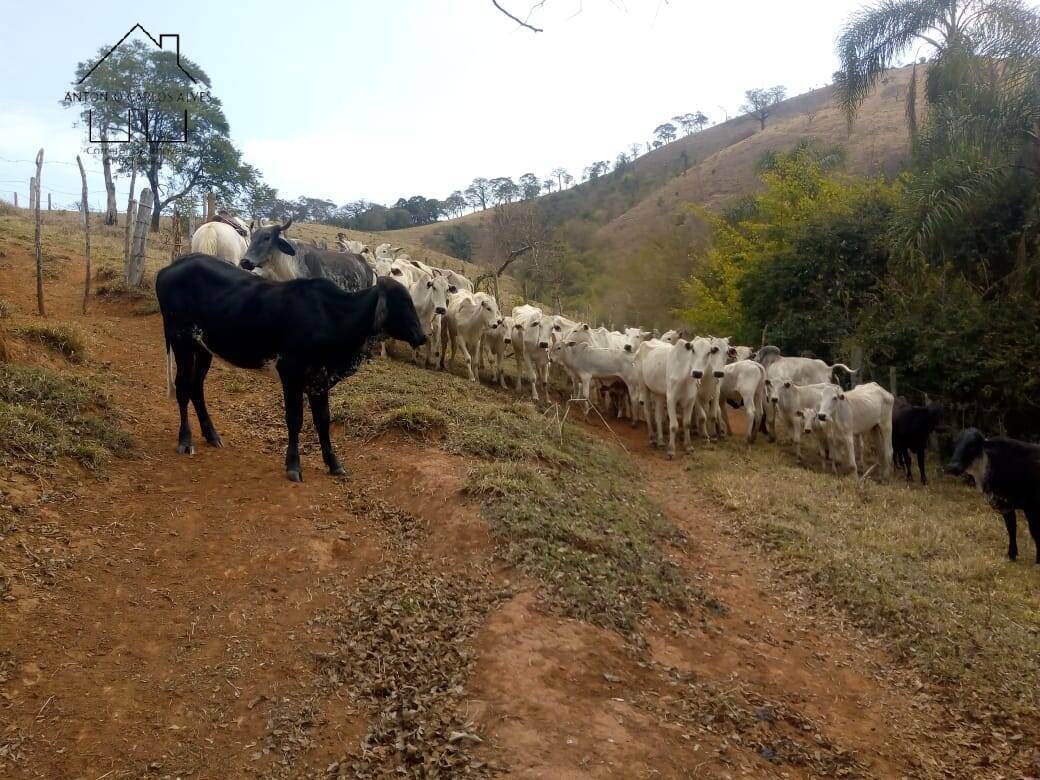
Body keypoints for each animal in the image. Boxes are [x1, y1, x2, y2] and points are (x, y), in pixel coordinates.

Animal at [153, 256, 422, 480]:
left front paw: (334, 464)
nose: (422, 336)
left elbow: (323, 421)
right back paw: (186, 439)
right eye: (402, 303)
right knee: (183, 388)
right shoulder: (291, 374)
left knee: (196, 388)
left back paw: (212, 435)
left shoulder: (319, 380)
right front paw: (293, 465)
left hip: (203, 348)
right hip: (180, 341)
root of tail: (170, 267)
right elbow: (295, 419)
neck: (332, 316)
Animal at [948, 430, 1040, 565]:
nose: (952, 467)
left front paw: (1038, 560)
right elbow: (1011, 529)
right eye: (955, 445)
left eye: (972, 445)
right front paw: (1012, 554)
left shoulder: (1031, 507)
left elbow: (1035, 532)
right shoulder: (1005, 505)